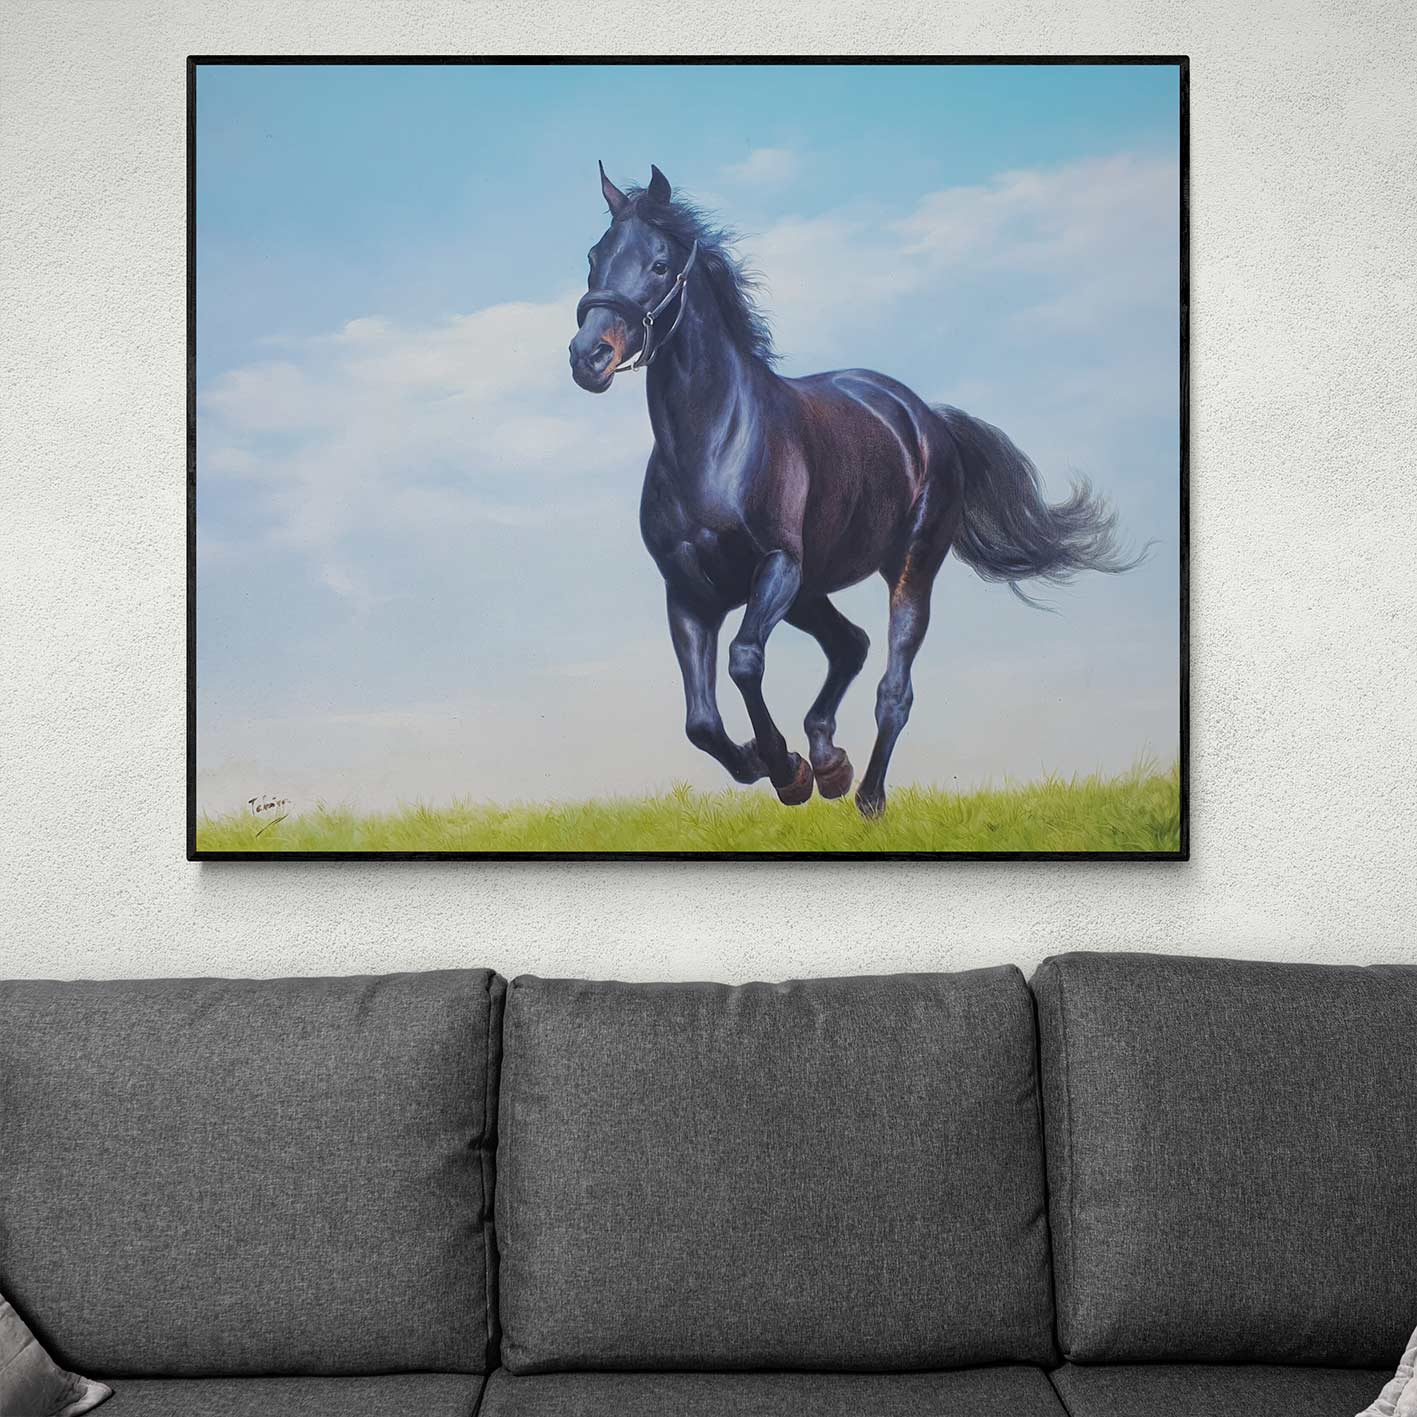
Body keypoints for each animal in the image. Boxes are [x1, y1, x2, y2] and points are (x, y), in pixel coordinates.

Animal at [568, 163, 1141, 817]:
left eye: (660, 265)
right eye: (595, 256)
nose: (588, 356)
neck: (714, 443)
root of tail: (927, 419)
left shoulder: (777, 567)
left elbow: (744, 662)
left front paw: (785, 768)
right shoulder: (689, 594)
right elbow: (701, 722)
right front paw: (775, 764)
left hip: (904, 571)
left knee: (893, 685)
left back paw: (865, 795)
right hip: (810, 592)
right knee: (852, 645)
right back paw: (828, 761)